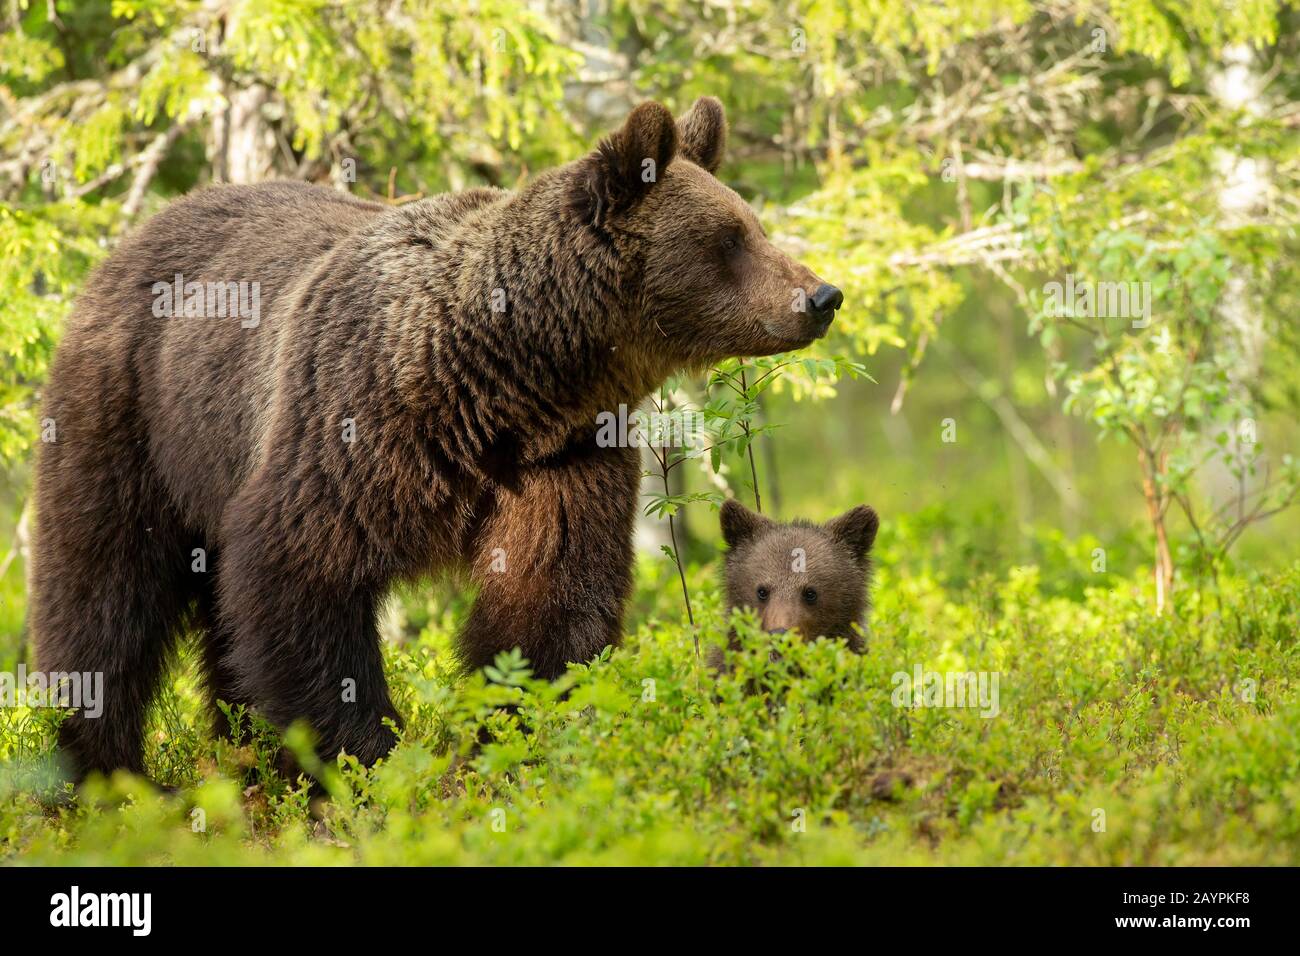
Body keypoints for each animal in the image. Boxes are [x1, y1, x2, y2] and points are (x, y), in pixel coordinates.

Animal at [30, 96, 844, 782]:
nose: (822, 295)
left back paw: (241, 751)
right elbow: (300, 577)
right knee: (103, 588)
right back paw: (105, 770)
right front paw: (368, 757)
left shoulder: (564, 460)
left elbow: (551, 596)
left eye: (752, 225)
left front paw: (512, 734)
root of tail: (137, 232)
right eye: (730, 239)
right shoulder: (351, 425)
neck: (503, 385)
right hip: (132, 415)